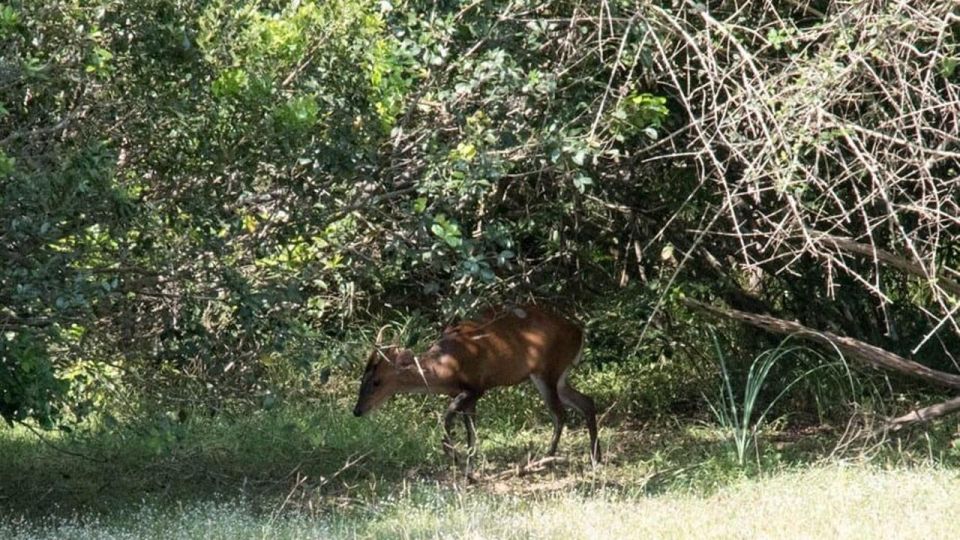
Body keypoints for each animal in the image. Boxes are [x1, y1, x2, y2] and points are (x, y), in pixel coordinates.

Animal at [350, 304, 600, 476]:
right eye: (362, 379)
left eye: (377, 381)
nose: (357, 411)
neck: (444, 367)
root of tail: (580, 332)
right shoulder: (466, 395)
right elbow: (471, 431)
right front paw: (469, 470)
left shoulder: (476, 387)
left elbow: (449, 416)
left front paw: (453, 455)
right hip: (559, 376)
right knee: (586, 402)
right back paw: (594, 456)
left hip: (547, 370)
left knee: (560, 413)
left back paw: (543, 460)